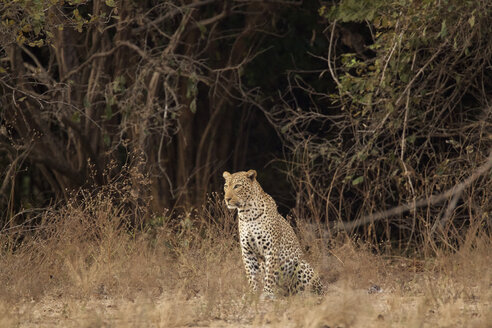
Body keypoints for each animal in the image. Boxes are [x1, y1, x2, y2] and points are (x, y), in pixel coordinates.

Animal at [222, 170, 322, 298]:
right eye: (226, 186)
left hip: (301, 265)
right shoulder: (247, 251)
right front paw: (253, 293)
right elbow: (251, 275)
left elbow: (269, 274)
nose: (227, 199)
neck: (247, 214)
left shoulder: (271, 249)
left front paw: (267, 294)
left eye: (237, 186)